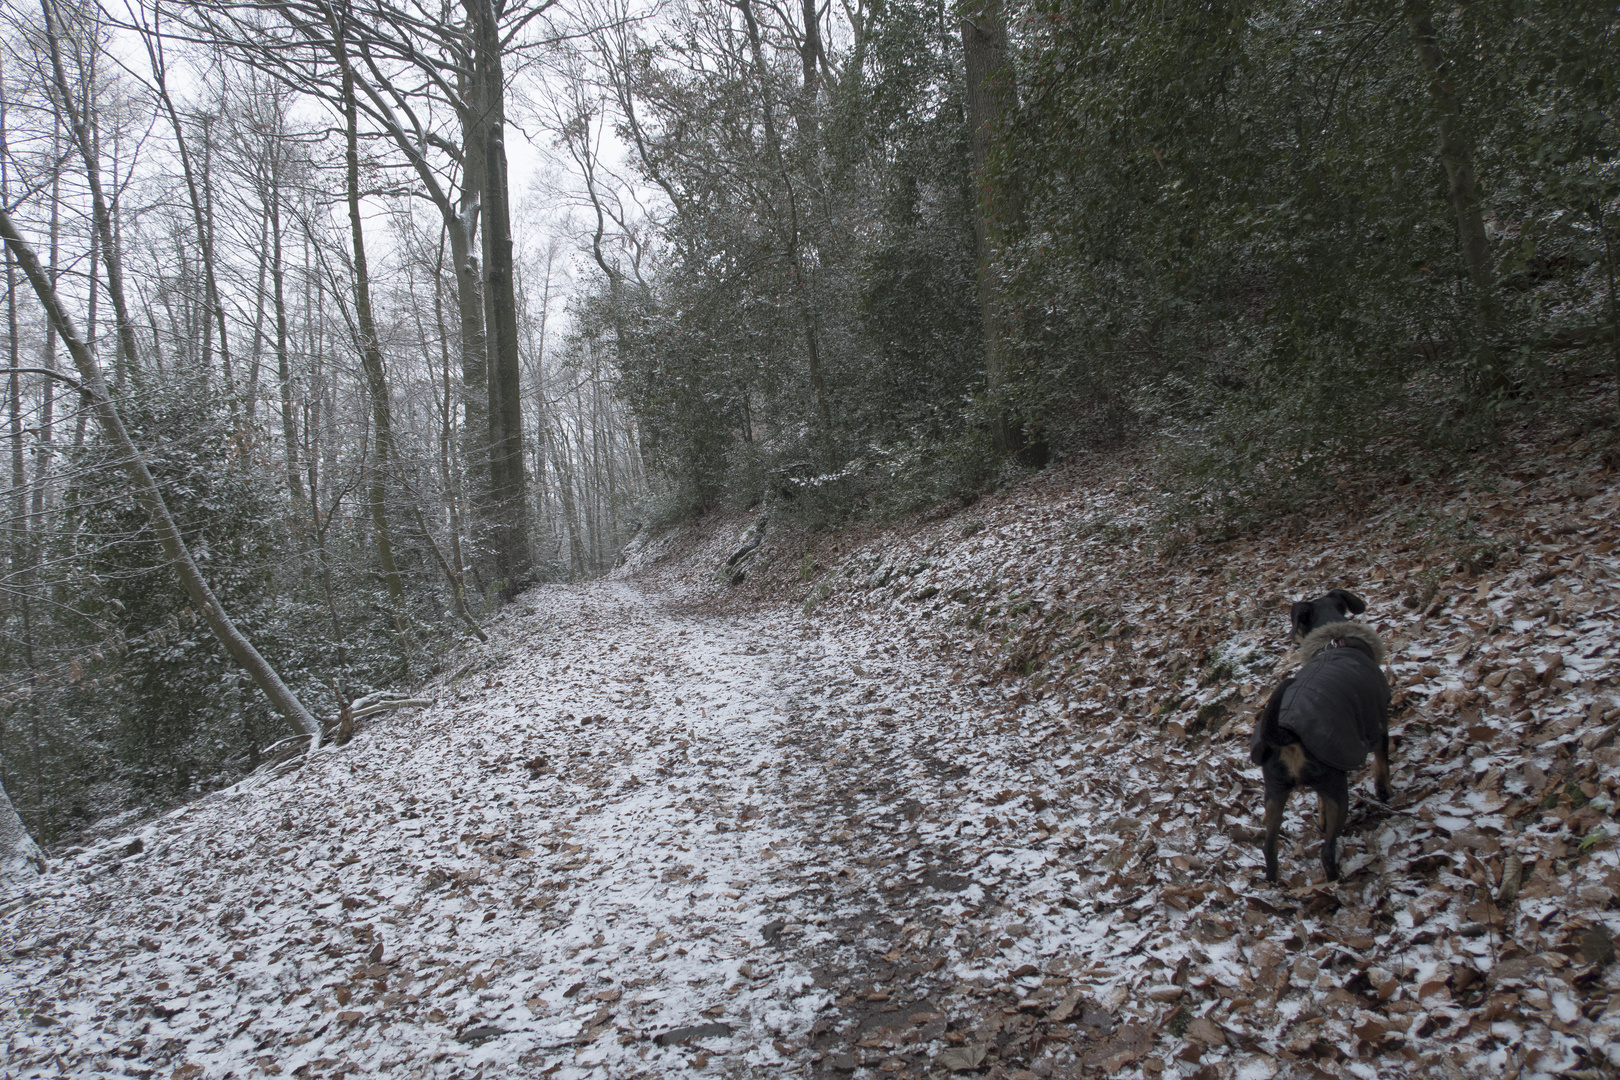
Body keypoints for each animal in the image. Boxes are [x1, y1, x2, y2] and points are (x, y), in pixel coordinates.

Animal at [1250, 592, 1393, 887]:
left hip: (1275, 791)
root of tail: (1286, 734)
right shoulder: (1377, 727)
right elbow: (1382, 764)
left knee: (1269, 847)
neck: (1334, 641)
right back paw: (1337, 881)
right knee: (1327, 851)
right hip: (1337, 788)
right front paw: (1385, 793)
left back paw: (1274, 883)